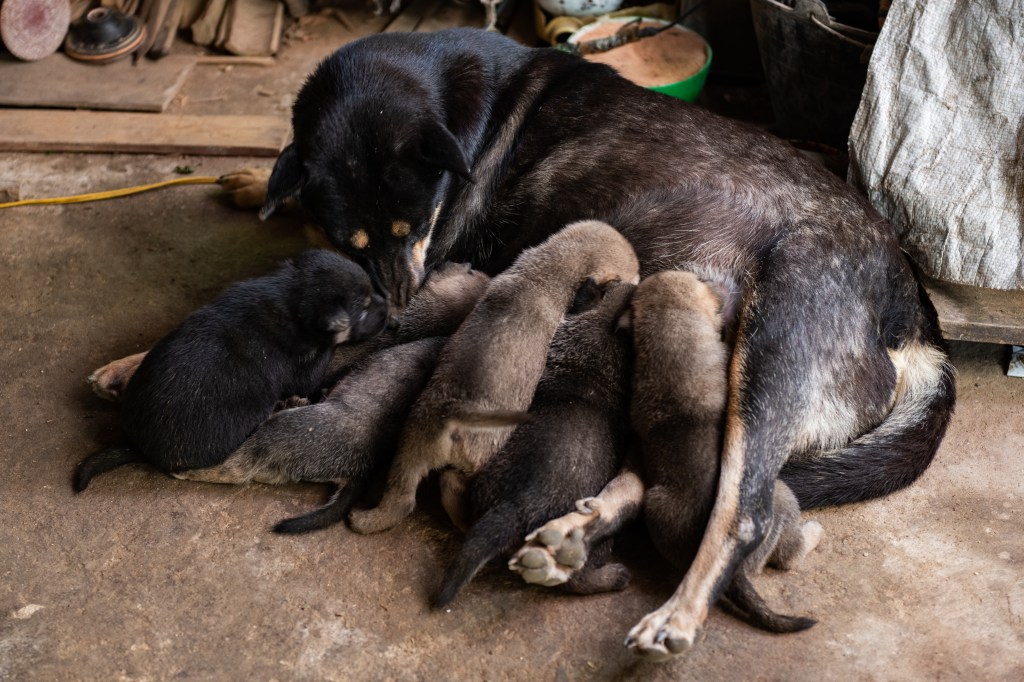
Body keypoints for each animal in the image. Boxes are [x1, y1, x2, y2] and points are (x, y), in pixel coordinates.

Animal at [171, 262, 491, 533]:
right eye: (473, 270)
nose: (461, 261)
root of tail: (357, 472)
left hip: (278, 432)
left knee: (236, 468)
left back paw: (189, 471)